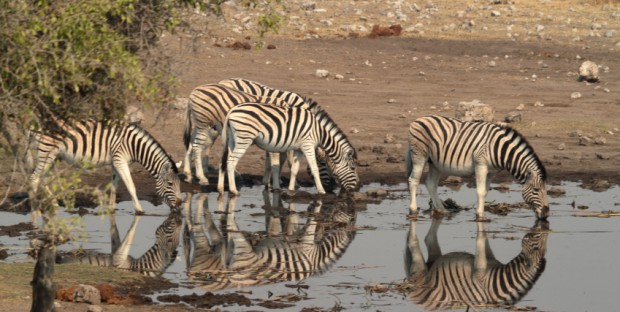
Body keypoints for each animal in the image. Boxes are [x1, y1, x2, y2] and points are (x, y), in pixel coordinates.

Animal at [28, 118, 182, 213]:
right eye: (170, 184)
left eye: (179, 184)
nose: (180, 204)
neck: (134, 146)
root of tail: (34, 122)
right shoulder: (120, 160)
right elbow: (131, 186)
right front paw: (139, 209)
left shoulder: (116, 162)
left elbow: (114, 186)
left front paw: (111, 208)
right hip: (46, 152)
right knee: (34, 178)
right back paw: (35, 208)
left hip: (55, 156)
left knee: (43, 179)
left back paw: (54, 205)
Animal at [218, 99, 358, 195]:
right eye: (352, 168)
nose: (356, 189)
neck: (319, 132)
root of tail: (232, 110)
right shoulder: (307, 145)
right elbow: (314, 169)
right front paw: (321, 191)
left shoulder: (298, 149)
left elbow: (295, 169)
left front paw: (291, 189)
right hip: (244, 138)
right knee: (231, 162)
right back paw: (233, 190)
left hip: (232, 140)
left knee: (225, 161)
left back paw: (222, 188)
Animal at [404, 217, 548, 310]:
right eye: (536, 246)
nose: (543, 224)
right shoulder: (480, 272)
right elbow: (481, 241)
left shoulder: (490, 258)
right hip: (421, 271)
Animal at [406, 114, 548, 219]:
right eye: (536, 190)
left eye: (545, 190)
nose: (546, 214)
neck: (499, 150)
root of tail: (419, 119)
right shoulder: (481, 165)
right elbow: (480, 191)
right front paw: (480, 215)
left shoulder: (491, 172)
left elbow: (485, 192)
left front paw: (481, 212)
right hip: (419, 155)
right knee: (413, 181)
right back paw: (413, 209)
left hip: (435, 163)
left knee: (430, 184)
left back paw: (441, 209)